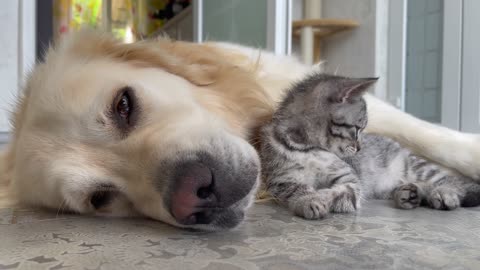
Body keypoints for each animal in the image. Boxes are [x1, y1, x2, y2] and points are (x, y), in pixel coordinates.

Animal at [260, 74, 478, 219]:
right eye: (357, 128)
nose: (360, 148)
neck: (310, 148)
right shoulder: (281, 180)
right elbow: (297, 189)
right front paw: (308, 199)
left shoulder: (350, 180)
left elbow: (341, 191)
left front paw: (319, 195)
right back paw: (410, 194)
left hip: (420, 168)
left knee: (455, 182)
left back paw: (443, 193)